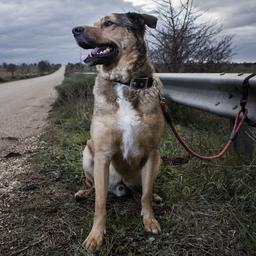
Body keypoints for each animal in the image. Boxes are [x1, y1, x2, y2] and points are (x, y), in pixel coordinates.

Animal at [72, 12, 164, 252]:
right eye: (95, 23)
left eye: (108, 23)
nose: (75, 30)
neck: (125, 82)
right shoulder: (103, 153)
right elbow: (100, 203)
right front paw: (96, 235)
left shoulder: (152, 152)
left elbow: (145, 195)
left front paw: (149, 219)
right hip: (87, 153)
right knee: (93, 186)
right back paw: (84, 192)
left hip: (158, 160)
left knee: (144, 189)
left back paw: (156, 195)